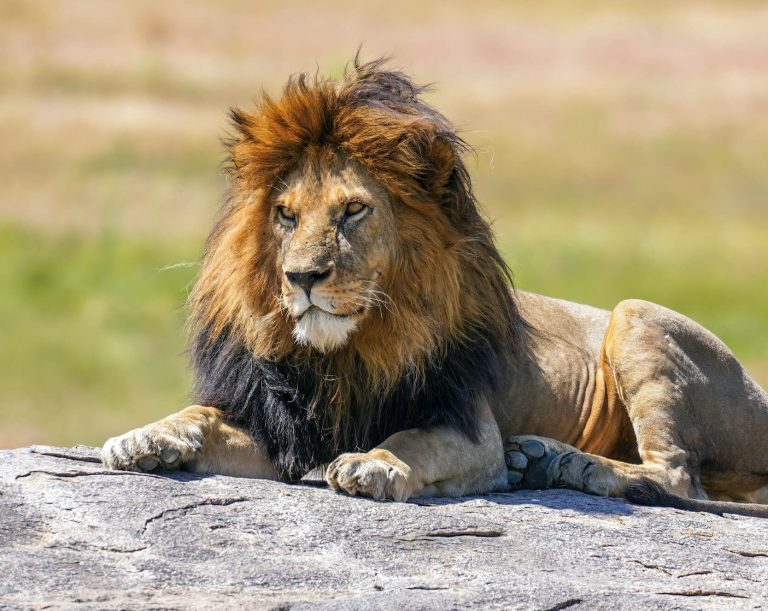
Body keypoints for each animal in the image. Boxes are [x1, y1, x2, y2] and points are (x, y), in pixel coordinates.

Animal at [102, 58, 768, 518]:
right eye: (286, 215)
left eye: (353, 210)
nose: (302, 277)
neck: (347, 353)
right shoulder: (282, 428)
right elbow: (202, 415)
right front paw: (146, 437)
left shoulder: (468, 428)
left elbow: (411, 442)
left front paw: (373, 464)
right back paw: (542, 461)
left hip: (635, 315)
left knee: (677, 477)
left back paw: (562, 462)